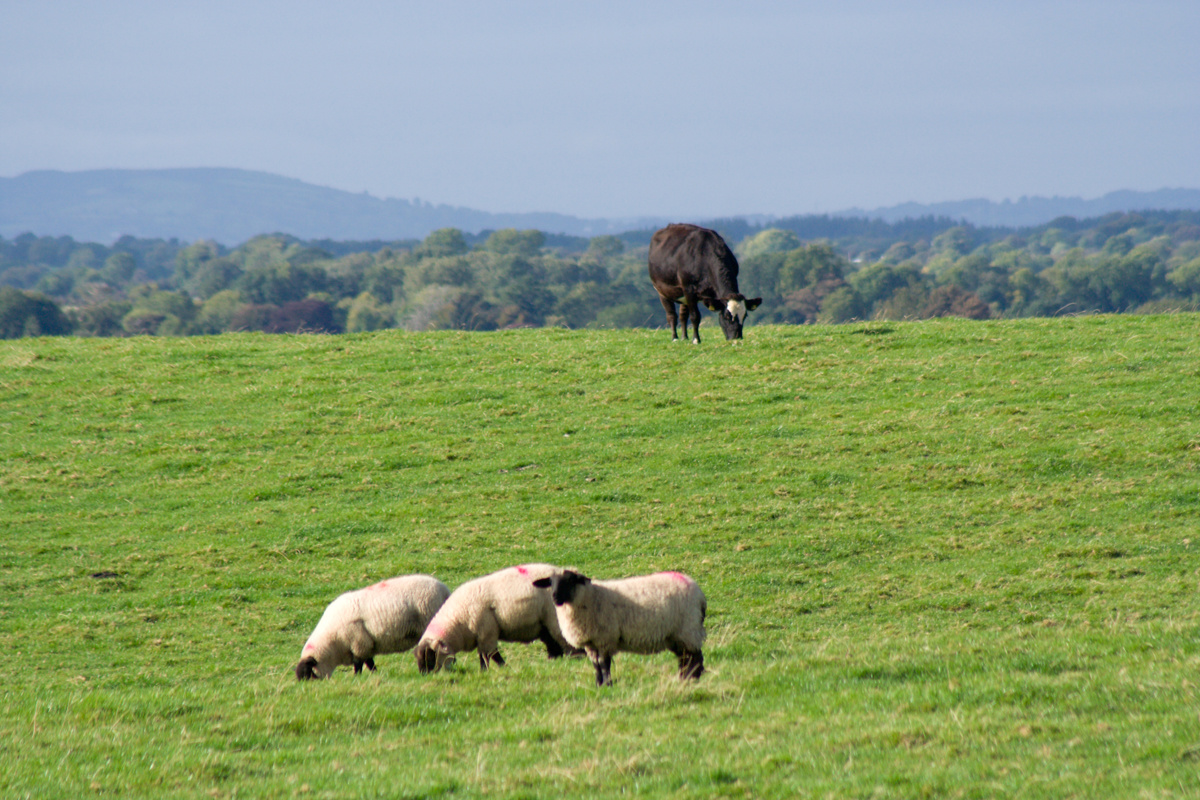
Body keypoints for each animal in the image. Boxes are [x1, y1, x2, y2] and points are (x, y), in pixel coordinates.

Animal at [295, 573, 451, 681]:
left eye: (308, 673)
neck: (333, 644)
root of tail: (445, 590)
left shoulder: (359, 643)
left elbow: (360, 664)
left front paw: (357, 677)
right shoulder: (364, 645)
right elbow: (368, 662)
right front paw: (374, 674)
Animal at [415, 563, 578, 676]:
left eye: (429, 655)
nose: (424, 674)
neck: (458, 621)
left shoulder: (486, 631)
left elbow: (492, 655)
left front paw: (502, 668)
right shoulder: (481, 636)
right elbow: (483, 656)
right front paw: (485, 671)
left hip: (553, 618)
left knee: (565, 640)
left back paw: (574, 660)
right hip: (543, 624)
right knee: (554, 645)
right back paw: (554, 663)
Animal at [530, 568, 705, 690]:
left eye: (570, 581)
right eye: (550, 582)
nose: (555, 597)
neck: (589, 597)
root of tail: (699, 593)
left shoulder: (605, 639)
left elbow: (604, 663)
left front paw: (608, 684)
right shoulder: (590, 643)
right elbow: (595, 664)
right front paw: (598, 685)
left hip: (688, 629)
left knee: (695, 657)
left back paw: (693, 679)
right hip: (676, 635)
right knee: (685, 657)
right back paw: (684, 678)